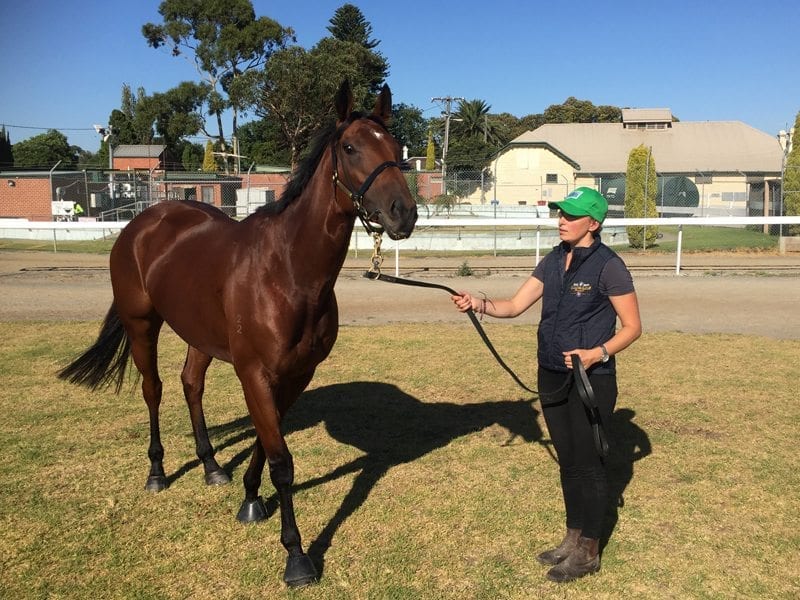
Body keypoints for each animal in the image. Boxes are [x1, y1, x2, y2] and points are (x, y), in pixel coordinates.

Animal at [57, 82, 418, 588]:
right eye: (350, 148)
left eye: (394, 147)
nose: (404, 213)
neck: (288, 270)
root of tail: (142, 223)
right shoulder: (255, 373)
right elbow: (282, 461)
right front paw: (296, 556)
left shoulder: (295, 375)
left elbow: (267, 444)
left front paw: (249, 499)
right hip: (142, 325)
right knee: (154, 390)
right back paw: (157, 472)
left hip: (199, 336)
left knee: (191, 384)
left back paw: (211, 466)